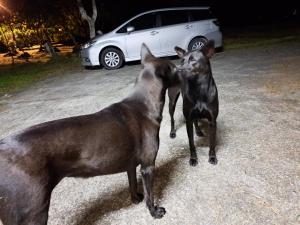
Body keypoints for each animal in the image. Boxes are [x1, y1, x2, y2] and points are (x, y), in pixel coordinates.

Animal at [0, 44, 178, 225]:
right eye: (175, 68)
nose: (183, 69)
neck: (143, 103)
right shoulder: (148, 166)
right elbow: (150, 194)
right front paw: (154, 211)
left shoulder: (131, 165)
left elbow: (132, 183)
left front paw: (135, 199)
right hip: (33, 212)